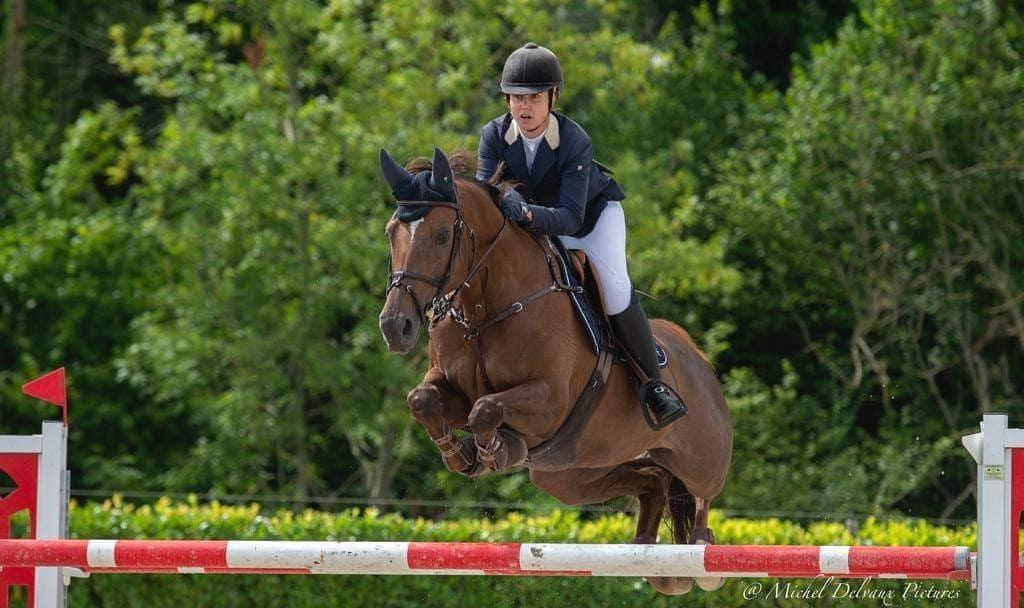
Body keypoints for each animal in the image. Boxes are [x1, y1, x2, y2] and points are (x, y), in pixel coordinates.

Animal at [380, 146, 733, 593]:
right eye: (391, 233)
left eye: (442, 235)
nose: (396, 327)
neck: (485, 310)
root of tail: (700, 358)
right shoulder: (451, 388)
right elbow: (423, 399)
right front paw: (462, 455)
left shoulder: (549, 401)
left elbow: (486, 409)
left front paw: (493, 449)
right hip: (568, 475)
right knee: (653, 479)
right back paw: (656, 565)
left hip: (700, 454)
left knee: (703, 491)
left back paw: (702, 555)